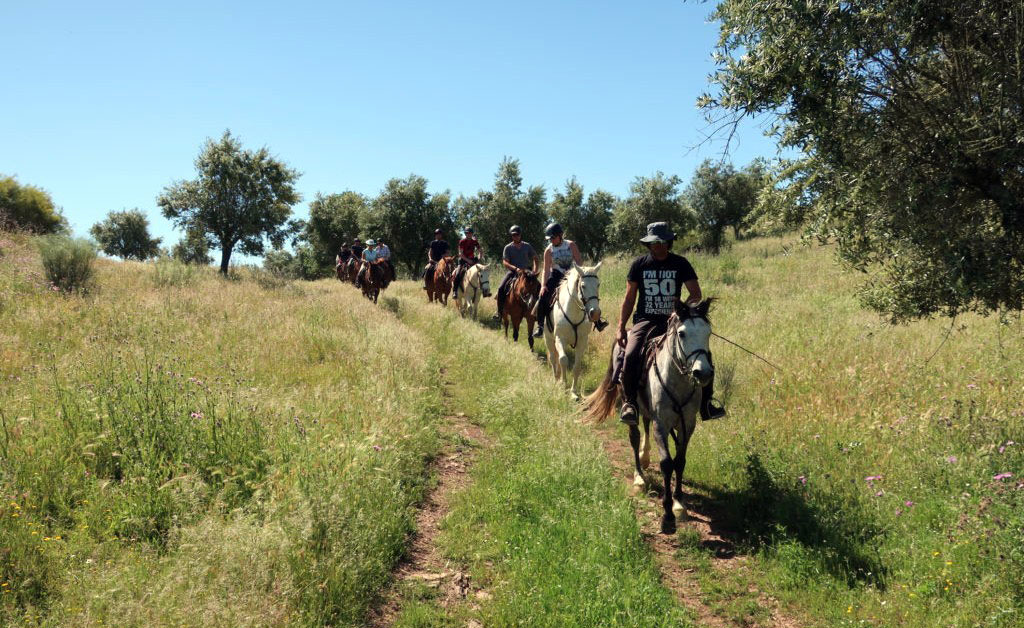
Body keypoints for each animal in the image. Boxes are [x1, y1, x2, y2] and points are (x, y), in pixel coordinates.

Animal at [544, 262, 598, 399]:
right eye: (583, 286)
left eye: (598, 285)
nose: (595, 313)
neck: (573, 313)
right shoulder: (560, 339)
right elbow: (563, 360)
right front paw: (564, 386)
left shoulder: (582, 341)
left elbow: (577, 366)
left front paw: (573, 392)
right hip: (548, 339)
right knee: (553, 358)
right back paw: (556, 380)